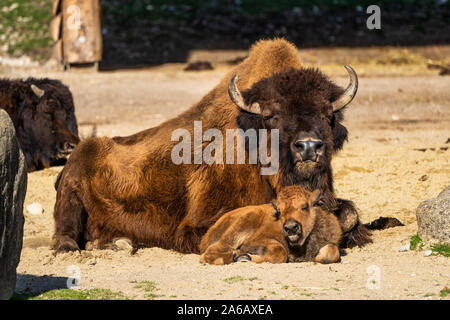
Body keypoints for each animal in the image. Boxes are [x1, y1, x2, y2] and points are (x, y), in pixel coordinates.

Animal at [51, 38, 370, 255]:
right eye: (272, 116)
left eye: (327, 115)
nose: (308, 147)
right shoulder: (197, 223)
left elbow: (348, 215)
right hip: (74, 177)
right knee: (64, 225)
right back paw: (73, 247)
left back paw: (120, 242)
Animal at [199, 185, 342, 264]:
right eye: (279, 211)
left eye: (305, 206)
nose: (291, 228)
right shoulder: (255, 241)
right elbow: (280, 251)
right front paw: (244, 256)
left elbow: (332, 252)